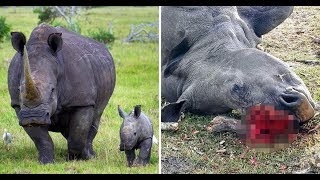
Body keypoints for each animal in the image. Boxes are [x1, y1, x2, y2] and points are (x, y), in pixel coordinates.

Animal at [7, 23, 116, 164]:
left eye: (53, 90)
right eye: (19, 90)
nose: (33, 116)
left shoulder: (82, 101)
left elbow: (77, 135)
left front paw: (75, 160)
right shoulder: (19, 107)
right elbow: (42, 139)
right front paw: (46, 163)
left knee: (96, 116)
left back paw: (90, 155)